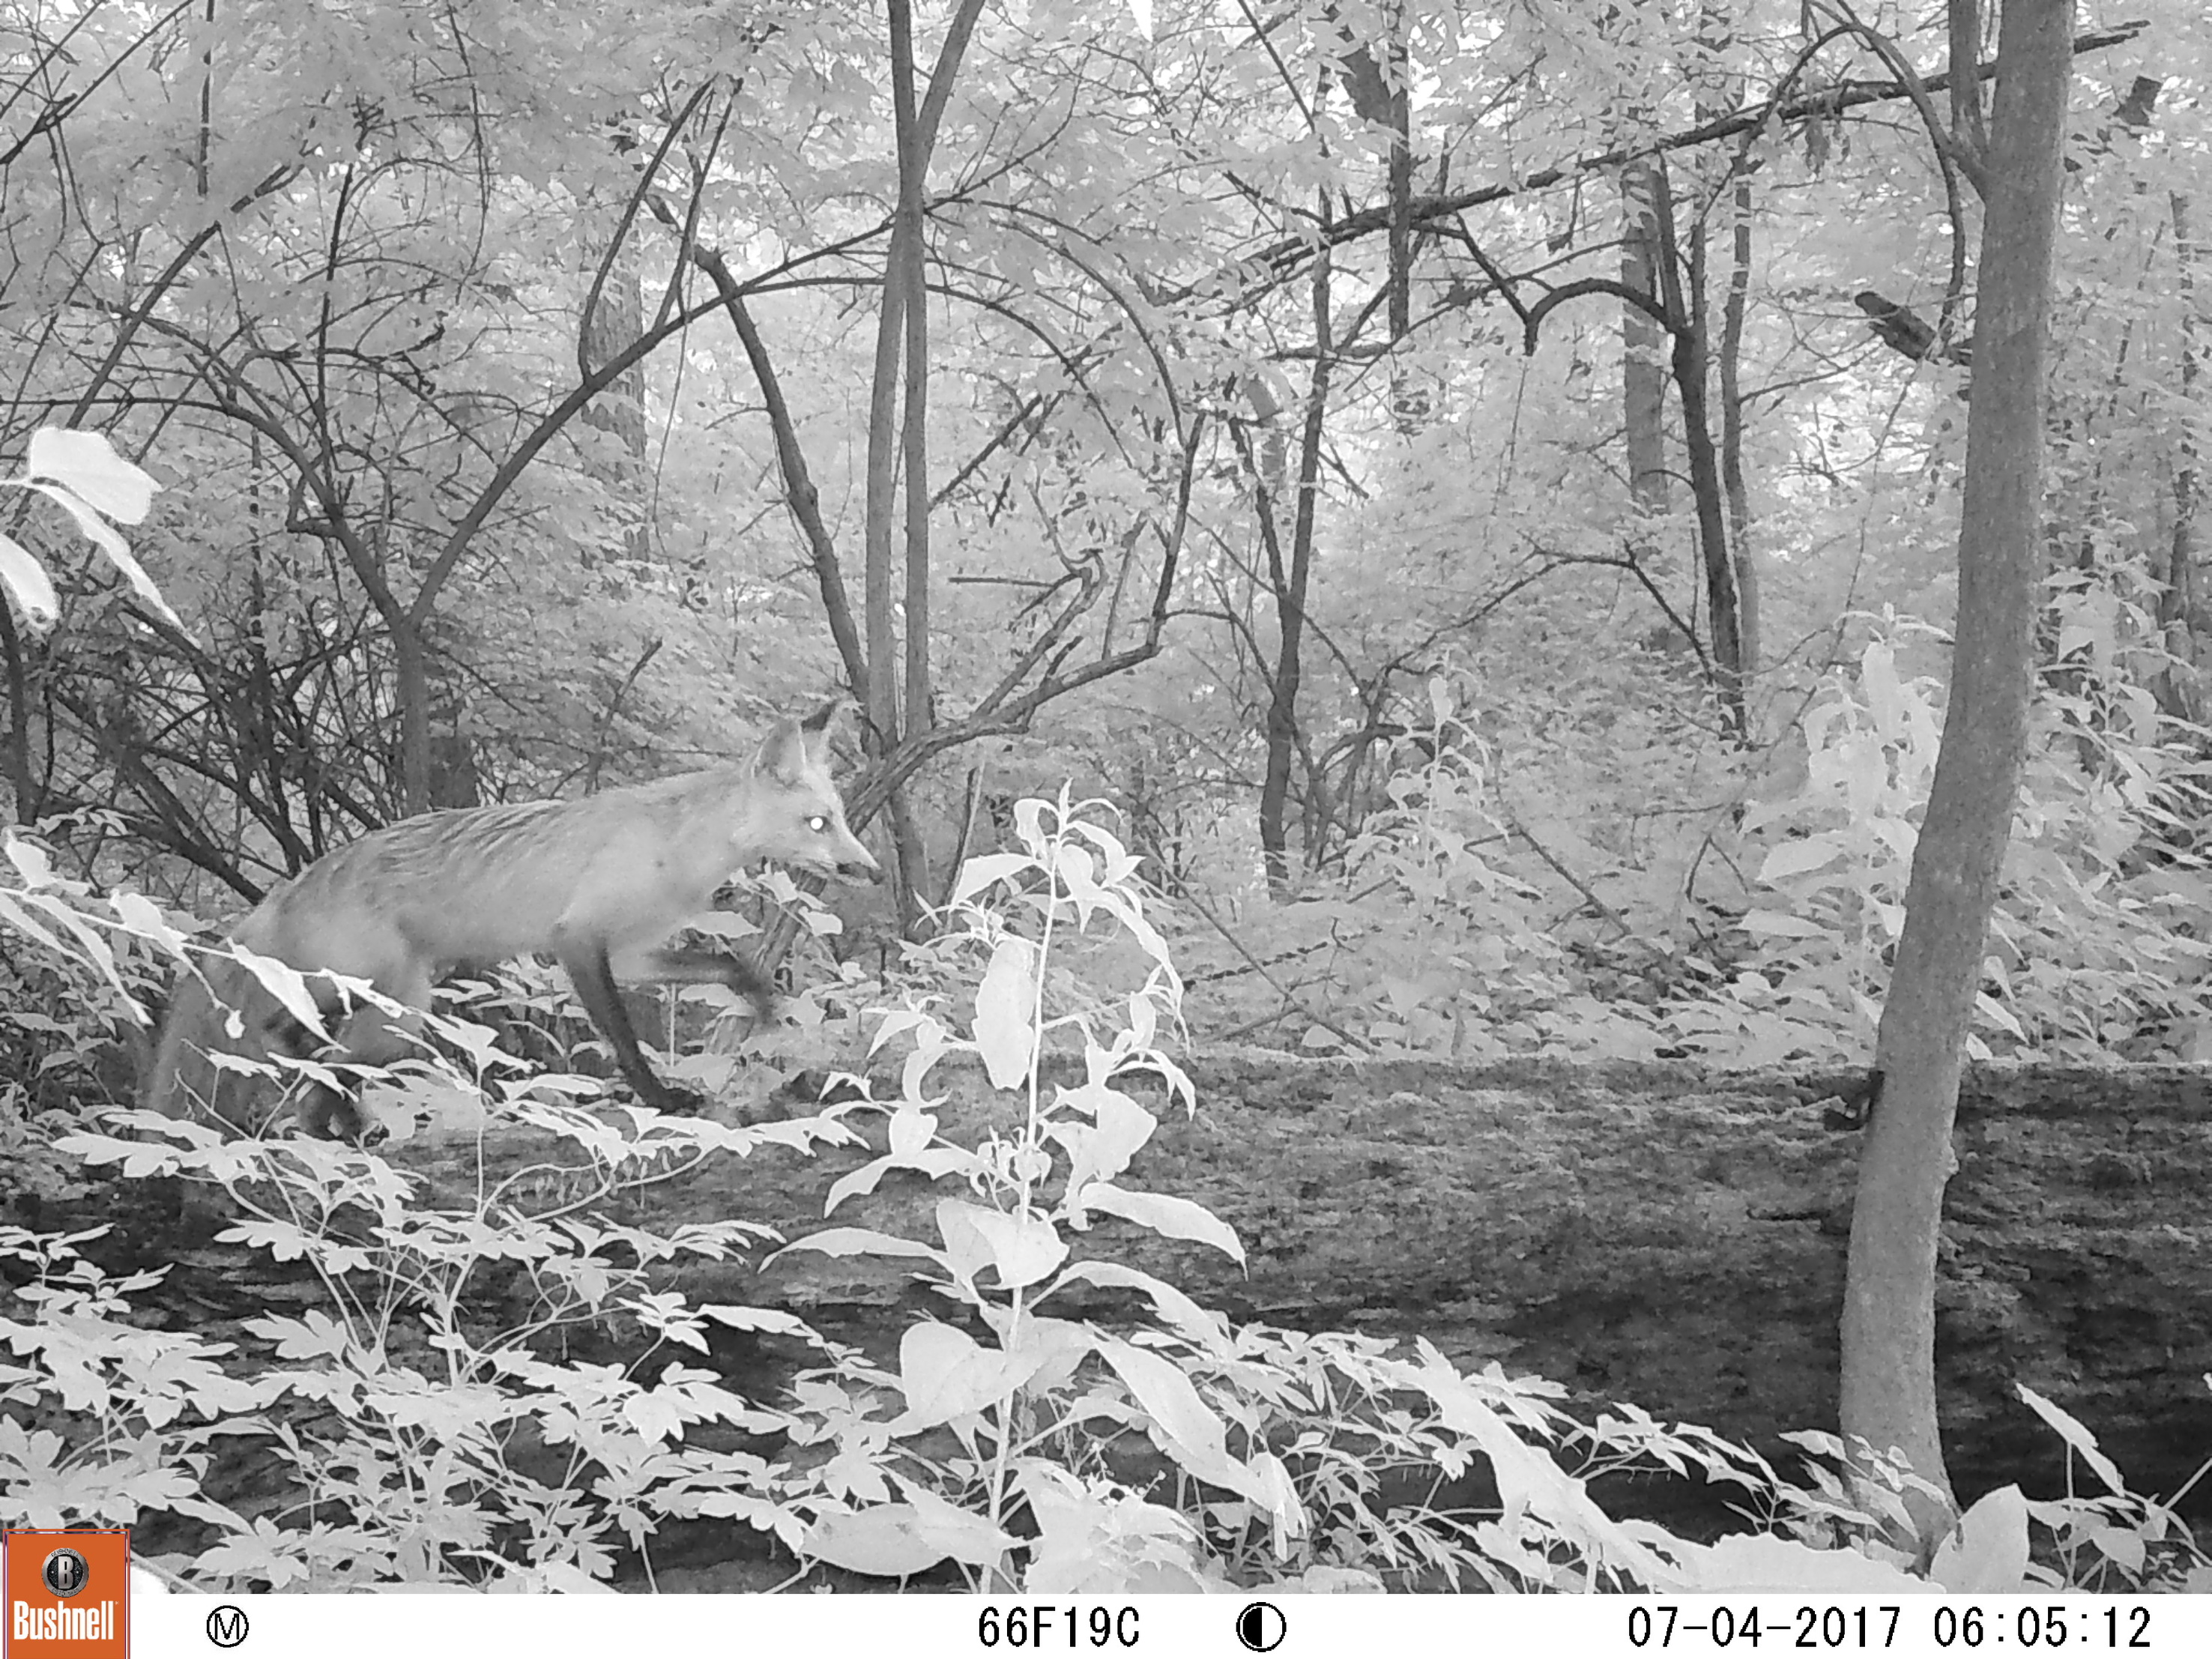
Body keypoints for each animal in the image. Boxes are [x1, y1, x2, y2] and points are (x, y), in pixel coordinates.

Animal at [136, 703, 880, 1141]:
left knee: (316, 1062)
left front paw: (764, 1001)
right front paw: (660, 1098)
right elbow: (623, 1037)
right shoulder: (578, 939)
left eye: (840, 819)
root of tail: (288, 888)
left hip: (400, 1012)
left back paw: (344, 1122)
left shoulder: (635, 950)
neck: (679, 845)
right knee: (281, 1034)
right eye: (819, 823)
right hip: (372, 990)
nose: (869, 870)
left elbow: (732, 964)